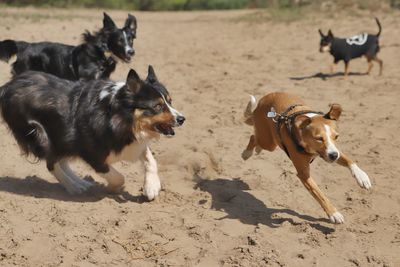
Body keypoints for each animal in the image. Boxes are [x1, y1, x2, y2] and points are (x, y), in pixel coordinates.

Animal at [0, 66, 186, 201]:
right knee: (51, 163)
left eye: (170, 101)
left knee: (60, 161)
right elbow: (119, 177)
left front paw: (151, 187)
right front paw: (111, 188)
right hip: (40, 135)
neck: (119, 117)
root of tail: (7, 86)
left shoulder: (133, 143)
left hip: (62, 139)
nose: (182, 119)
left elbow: (151, 160)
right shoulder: (92, 154)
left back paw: (80, 183)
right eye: (157, 106)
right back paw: (73, 187)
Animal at [244, 92, 372, 224]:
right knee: (254, 137)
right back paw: (247, 153)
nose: (334, 156)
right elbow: (319, 194)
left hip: (270, 142)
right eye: (319, 138)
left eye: (336, 136)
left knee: (257, 139)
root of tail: (263, 99)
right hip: (268, 141)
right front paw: (334, 213)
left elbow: (349, 160)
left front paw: (362, 177)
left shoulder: (333, 150)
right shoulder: (304, 174)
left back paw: (256, 150)